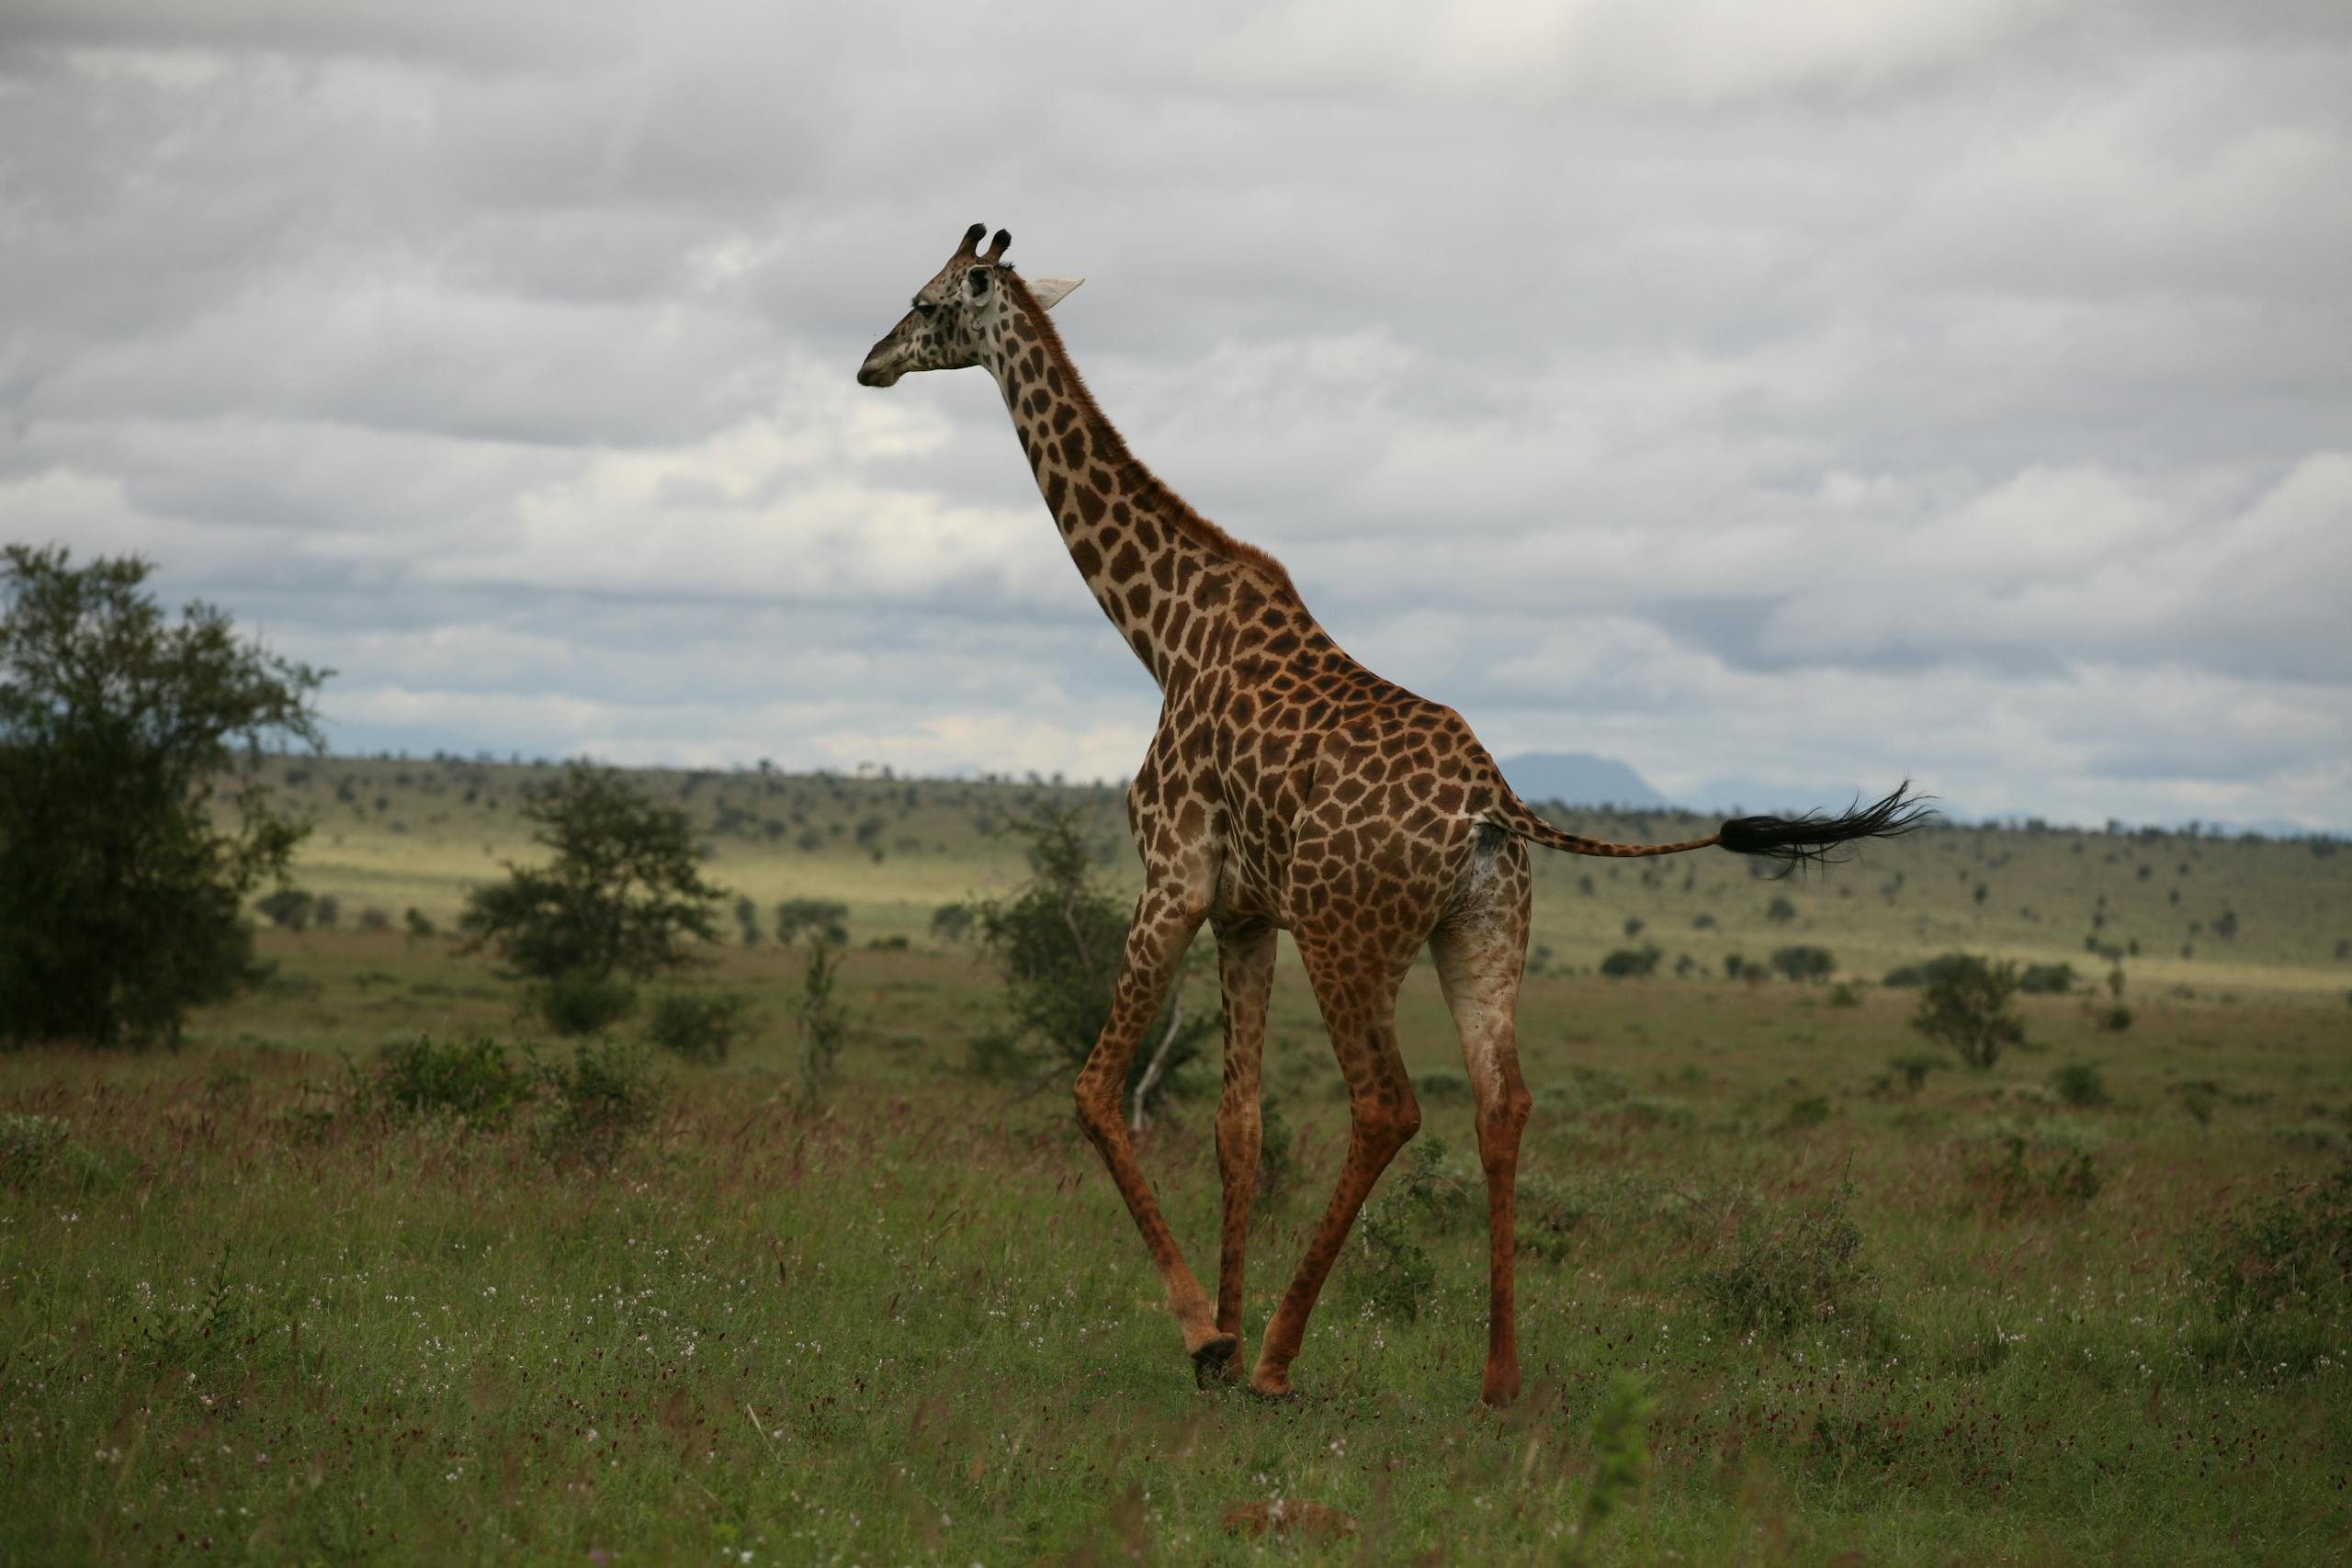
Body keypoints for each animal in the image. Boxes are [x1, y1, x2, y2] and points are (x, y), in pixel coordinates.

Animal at [855, 223, 1918, 1410]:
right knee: (1502, 1103)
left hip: (1348, 933)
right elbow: (1237, 1127)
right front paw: (1219, 1337)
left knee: (1387, 1107)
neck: (1163, 632)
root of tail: (1494, 807)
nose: (869, 364)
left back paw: (1283, 1355)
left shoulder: (1173, 875)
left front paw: (1209, 1335)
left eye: (925, 301)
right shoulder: (1244, 912)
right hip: (1482, 934)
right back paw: (1496, 1377)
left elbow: (1093, 1092)